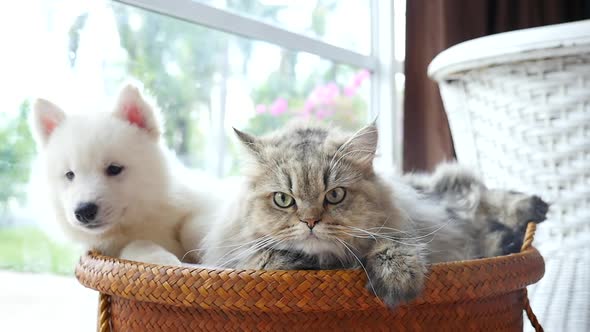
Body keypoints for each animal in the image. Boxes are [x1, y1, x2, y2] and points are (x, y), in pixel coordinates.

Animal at [29, 83, 215, 264]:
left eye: (114, 168)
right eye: (70, 175)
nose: (84, 211)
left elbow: (193, 227)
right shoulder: (114, 248)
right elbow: (136, 244)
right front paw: (160, 258)